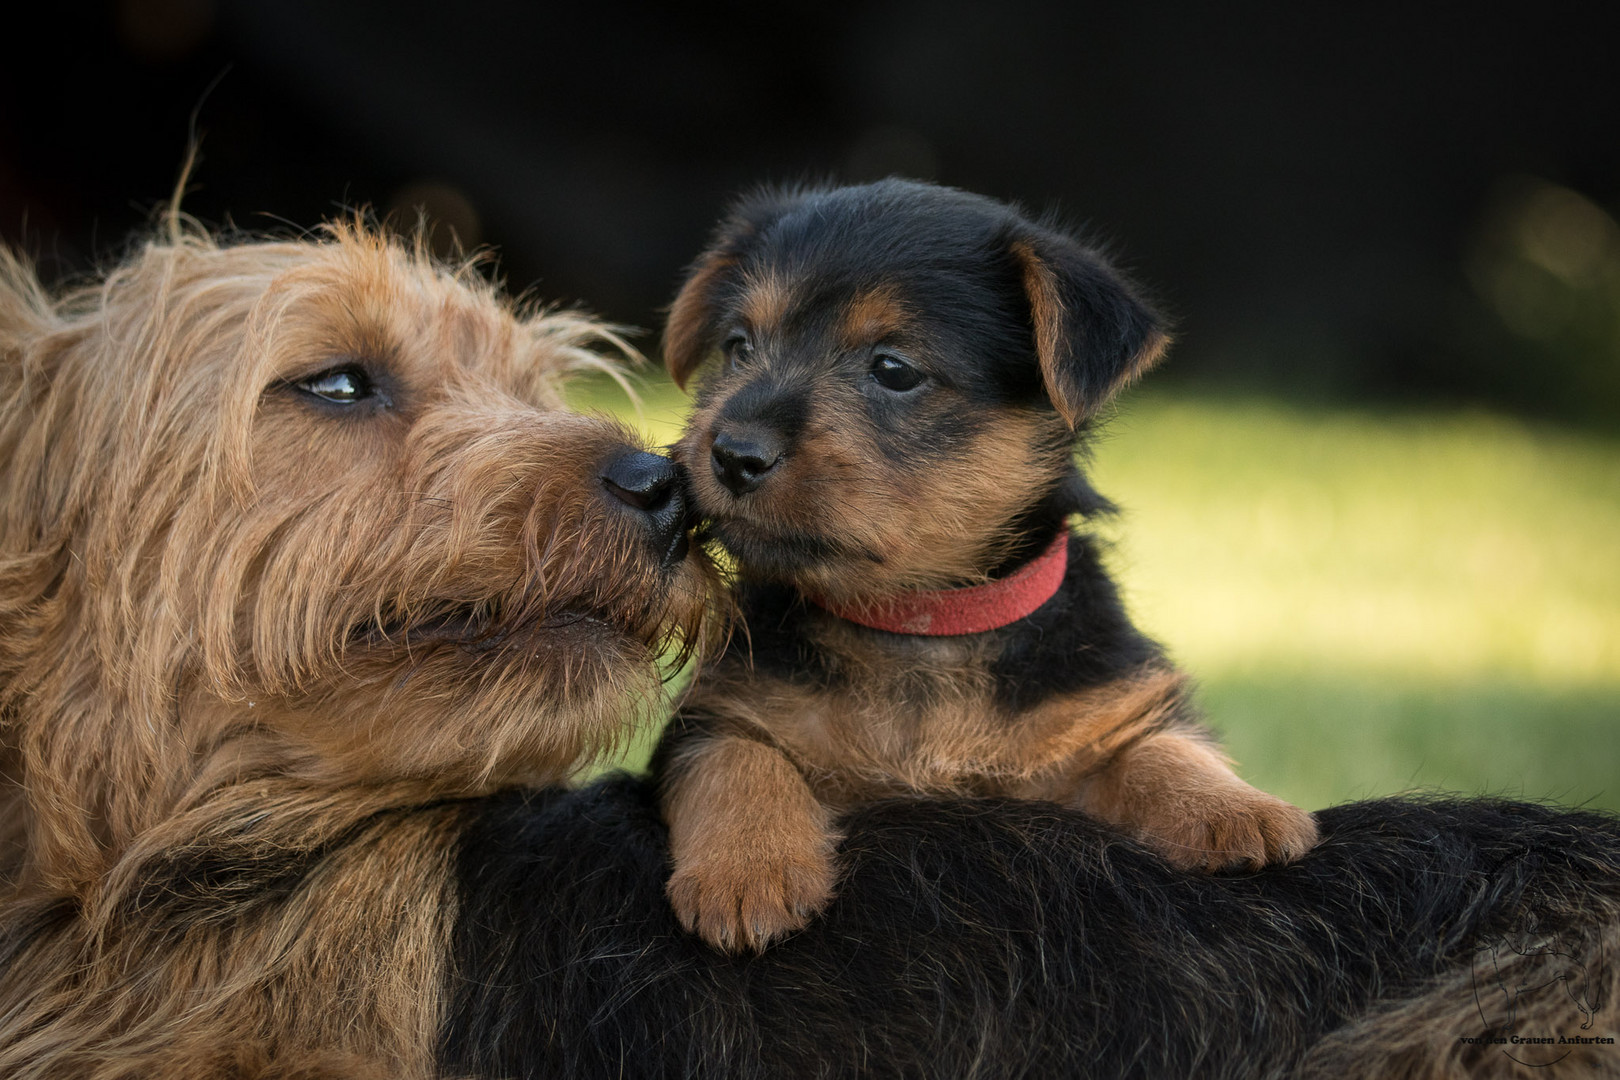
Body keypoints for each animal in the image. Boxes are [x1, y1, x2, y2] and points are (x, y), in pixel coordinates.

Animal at [654, 181, 1315, 952]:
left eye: (894, 370)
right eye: (738, 346)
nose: (732, 452)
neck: (922, 619)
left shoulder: (1100, 719)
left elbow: (1162, 749)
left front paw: (1238, 809)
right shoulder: (714, 714)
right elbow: (739, 759)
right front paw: (748, 871)